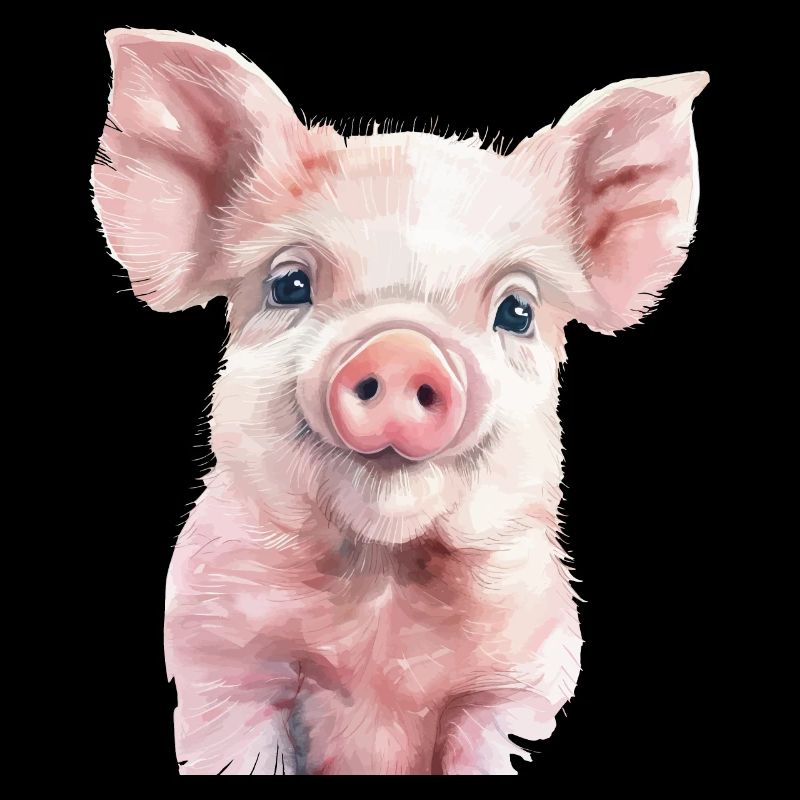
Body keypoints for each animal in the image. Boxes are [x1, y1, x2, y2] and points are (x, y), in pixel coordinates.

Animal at [91, 27, 708, 775]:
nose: (401, 349)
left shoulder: (521, 684)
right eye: (289, 284)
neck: (381, 583)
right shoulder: (218, 659)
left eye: (518, 310)